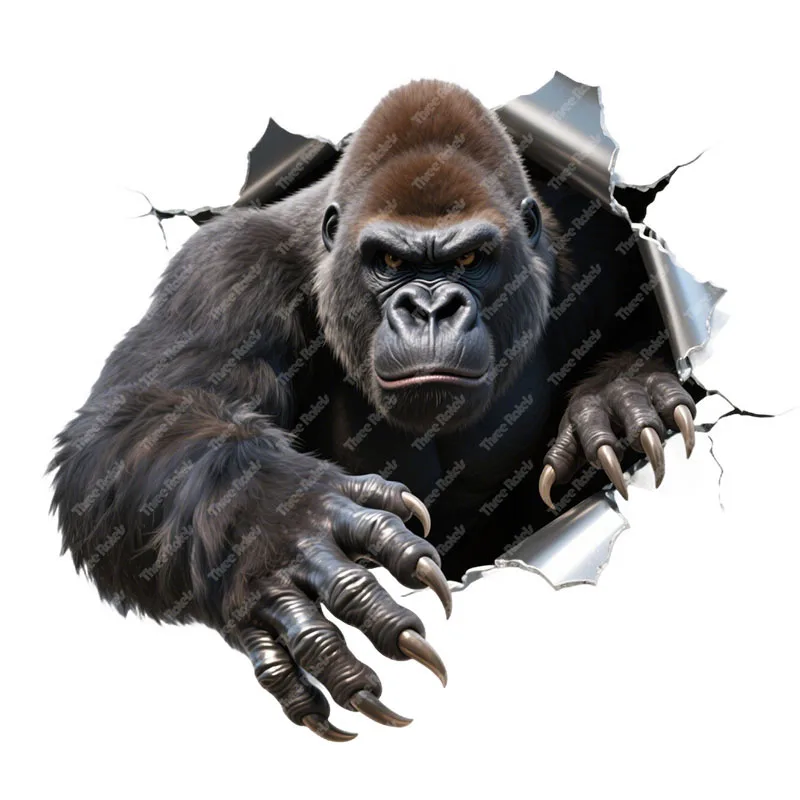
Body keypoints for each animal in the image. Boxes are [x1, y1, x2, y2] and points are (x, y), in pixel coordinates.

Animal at [50, 79, 697, 741]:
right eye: (389, 263)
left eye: (470, 260)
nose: (430, 310)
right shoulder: (227, 266)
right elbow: (135, 426)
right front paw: (283, 527)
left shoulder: (588, 245)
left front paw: (624, 393)